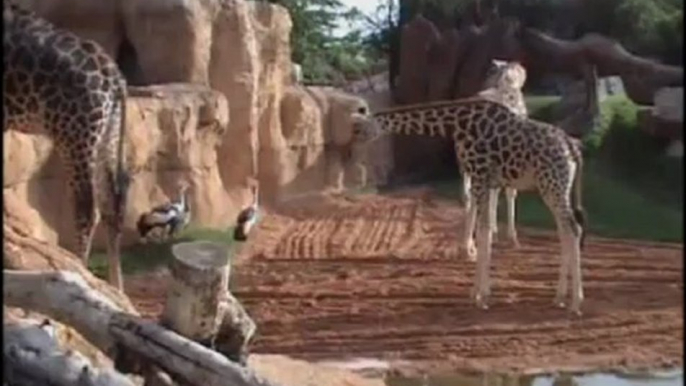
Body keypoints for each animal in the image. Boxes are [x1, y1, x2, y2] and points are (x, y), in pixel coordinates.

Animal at [4, 0, 131, 290]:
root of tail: (115, 79)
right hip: (107, 133)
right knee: (112, 204)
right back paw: (115, 288)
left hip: (75, 133)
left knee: (86, 207)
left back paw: (79, 272)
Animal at [358, 98, 588, 316]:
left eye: (361, 129)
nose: (361, 154)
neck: (456, 124)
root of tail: (573, 148)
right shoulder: (487, 182)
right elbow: (484, 229)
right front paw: (478, 292)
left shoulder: (479, 176)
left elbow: (483, 231)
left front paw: (480, 296)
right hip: (555, 187)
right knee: (566, 231)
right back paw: (559, 297)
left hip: (552, 184)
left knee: (573, 229)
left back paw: (575, 303)